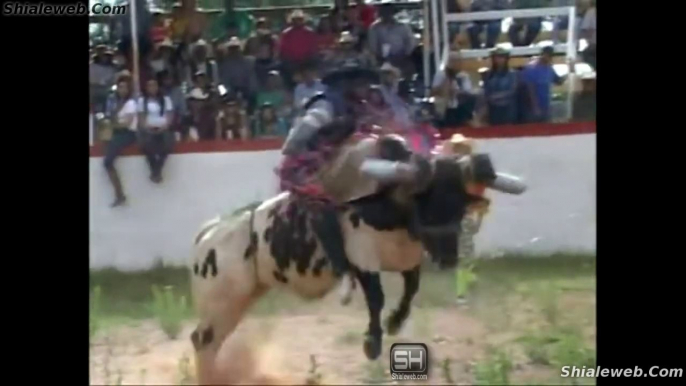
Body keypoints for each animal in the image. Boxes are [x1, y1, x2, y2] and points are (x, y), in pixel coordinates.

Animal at [188, 133, 528, 382]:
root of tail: (208, 234)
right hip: (222, 299)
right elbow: (376, 297)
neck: (390, 209)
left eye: (459, 203)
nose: (447, 258)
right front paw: (372, 341)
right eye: (427, 201)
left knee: (209, 341)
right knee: (202, 340)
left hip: (240, 299)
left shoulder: (407, 259)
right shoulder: (363, 259)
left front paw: (395, 322)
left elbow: (411, 289)